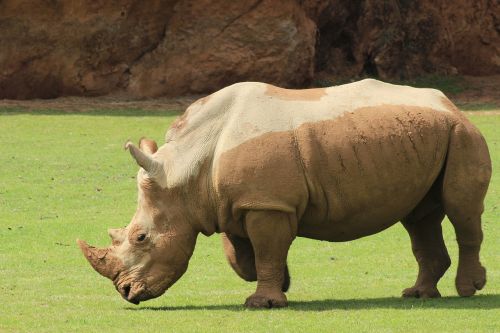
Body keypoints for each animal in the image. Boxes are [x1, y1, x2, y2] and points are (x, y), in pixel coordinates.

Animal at [76, 79, 490, 308]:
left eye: (141, 238)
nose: (126, 292)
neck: (185, 171)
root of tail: (451, 103)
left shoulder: (267, 204)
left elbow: (267, 249)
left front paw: (264, 303)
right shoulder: (236, 203)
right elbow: (244, 255)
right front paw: (281, 283)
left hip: (462, 134)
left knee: (460, 210)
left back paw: (468, 290)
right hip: (427, 135)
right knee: (420, 218)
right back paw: (417, 295)